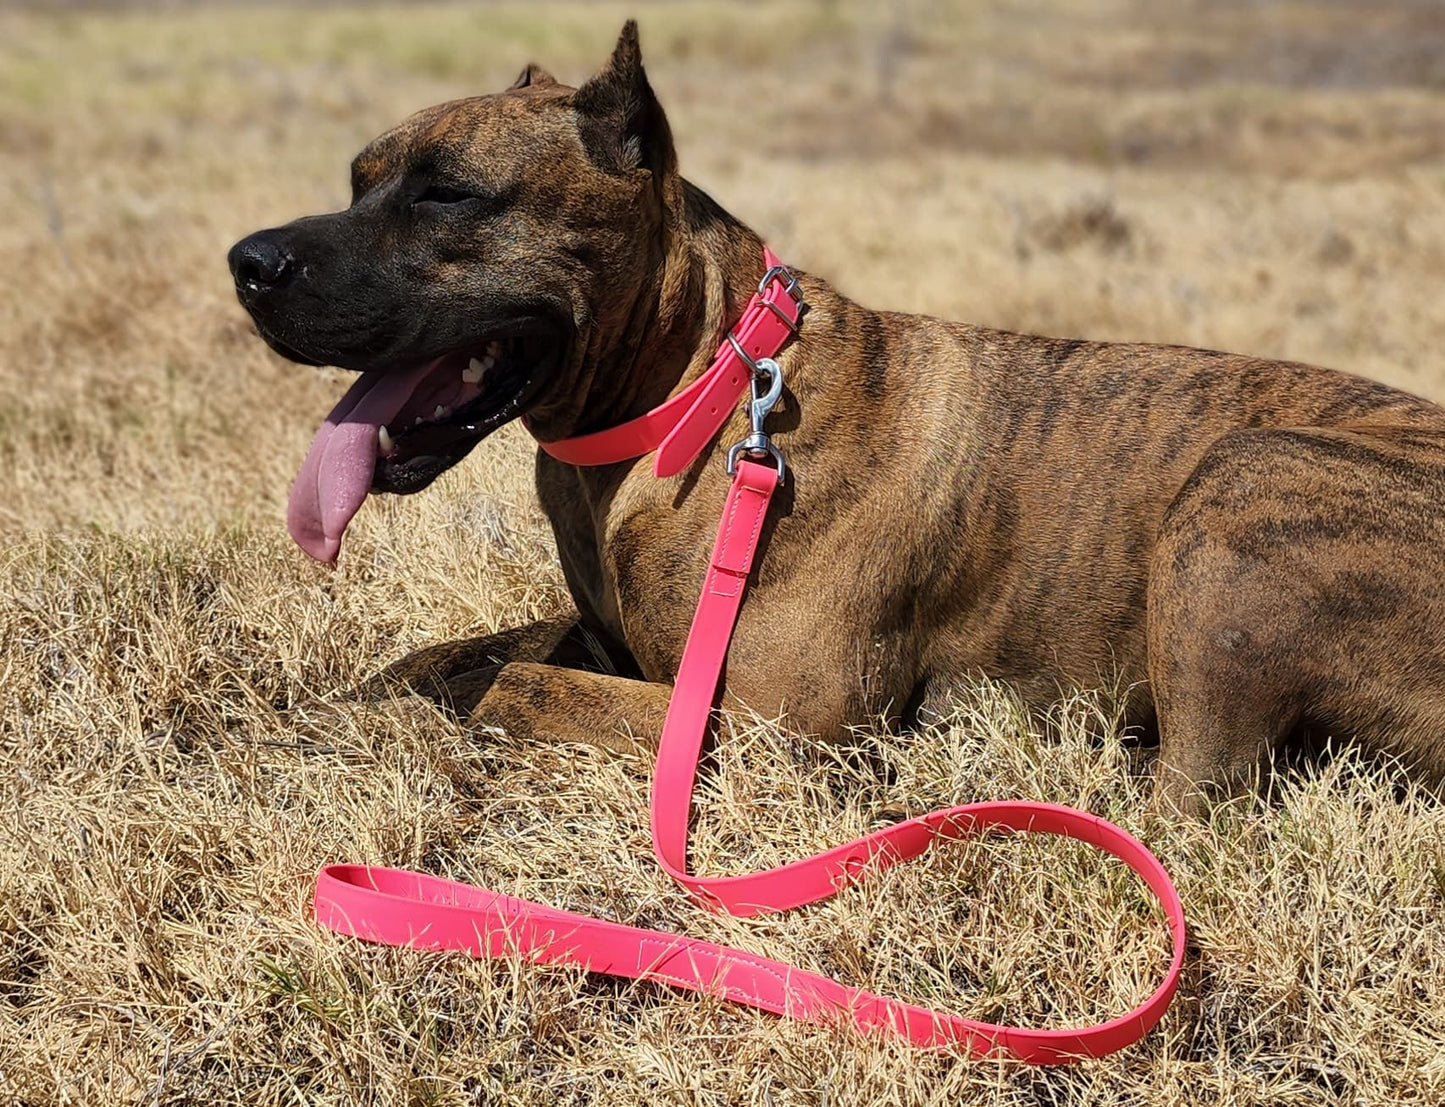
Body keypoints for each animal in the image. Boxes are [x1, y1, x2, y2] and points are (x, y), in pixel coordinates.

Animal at [228, 19, 1445, 815]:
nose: (248, 261)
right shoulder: (607, 640)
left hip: (1242, 484)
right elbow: (455, 654)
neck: (700, 390)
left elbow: (503, 687)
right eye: (359, 177)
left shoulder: (767, 728)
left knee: (1195, 789)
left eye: (446, 193)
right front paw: (349, 699)